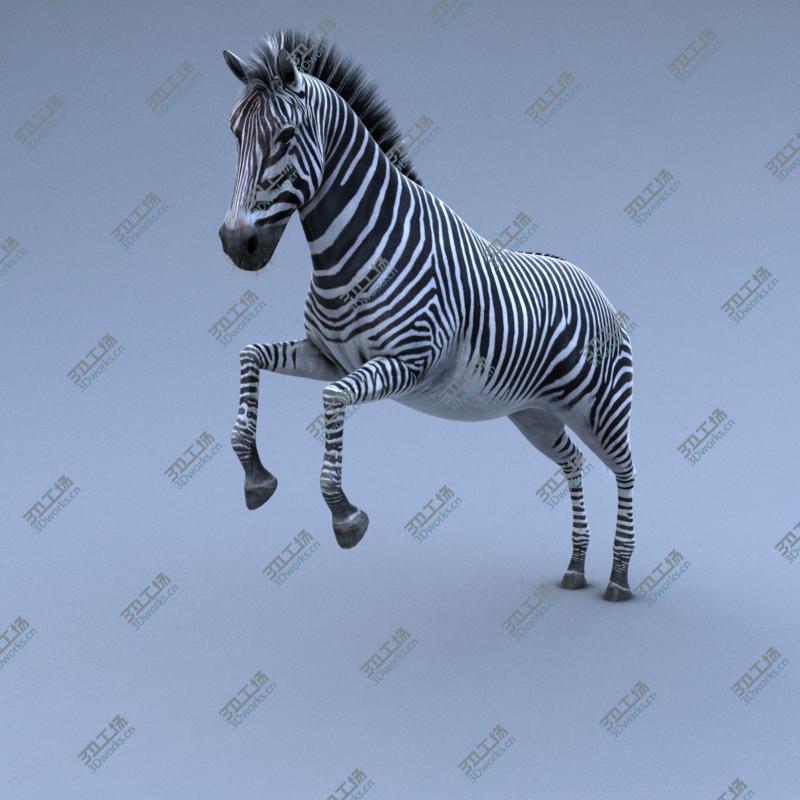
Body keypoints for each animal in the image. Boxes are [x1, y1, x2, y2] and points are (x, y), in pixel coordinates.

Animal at [218, 30, 637, 601]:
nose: (235, 243)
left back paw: (618, 578)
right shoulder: (327, 356)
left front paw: (344, 516)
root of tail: (594, 284)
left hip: (602, 410)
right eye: (234, 133)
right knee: (574, 462)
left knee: (627, 473)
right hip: (535, 415)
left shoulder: (409, 362)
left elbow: (332, 400)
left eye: (284, 137)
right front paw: (256, 478)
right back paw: (575, 566)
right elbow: (249, 354)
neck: (358, 250)